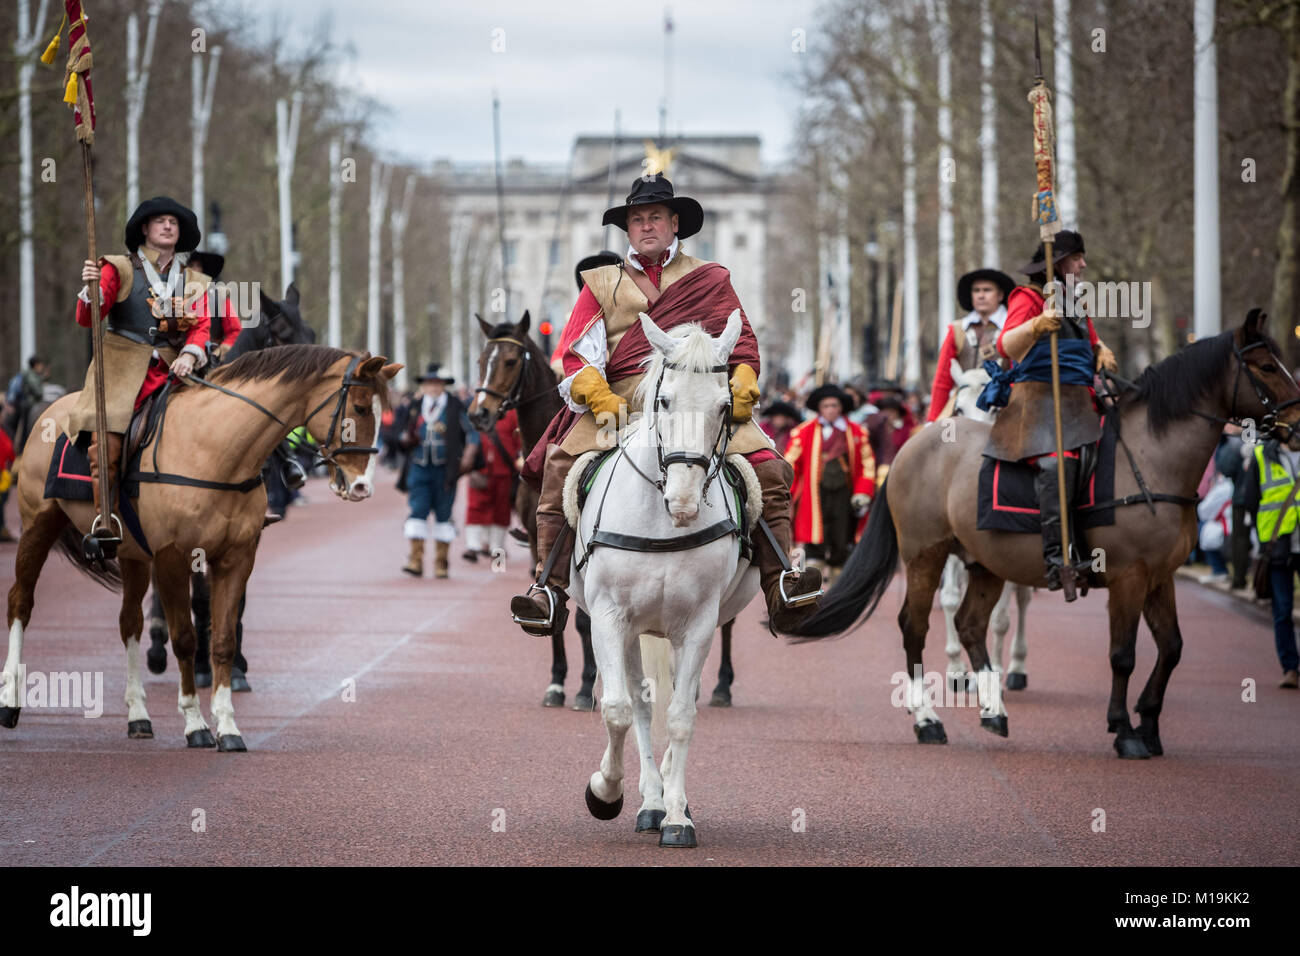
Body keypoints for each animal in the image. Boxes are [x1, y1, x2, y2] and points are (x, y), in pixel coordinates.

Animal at [5, 348, 397, 749]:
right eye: (361, 407)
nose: (363, 486)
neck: (215, 451)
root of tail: (54, 407)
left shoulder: (236, 558)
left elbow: (222, 638)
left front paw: (227, 725)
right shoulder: (172, 558)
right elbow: (185, 638)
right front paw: (195, 723)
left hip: (132, 554)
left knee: (129, 621)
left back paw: (138, 715)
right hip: (38, 525)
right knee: (21, 601)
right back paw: (10, 701)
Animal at [572, 310, 759, 848]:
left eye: (725, 406)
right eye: (664, 400)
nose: (684, 501)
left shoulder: (698, 624)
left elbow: (679, 716)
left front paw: (677, 817)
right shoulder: (609, 618)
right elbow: (618, 708)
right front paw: (604, 791)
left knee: (675, 699)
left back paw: (665, 802)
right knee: (637, 703)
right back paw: (646, 799)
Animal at [941, 361, 1029, 691]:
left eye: (994, 408)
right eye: (959, 408)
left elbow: (1000, 617)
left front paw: (996, 670)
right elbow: (949, 600)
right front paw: (956, 669)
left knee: (1021, 600)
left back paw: (1014, 667)